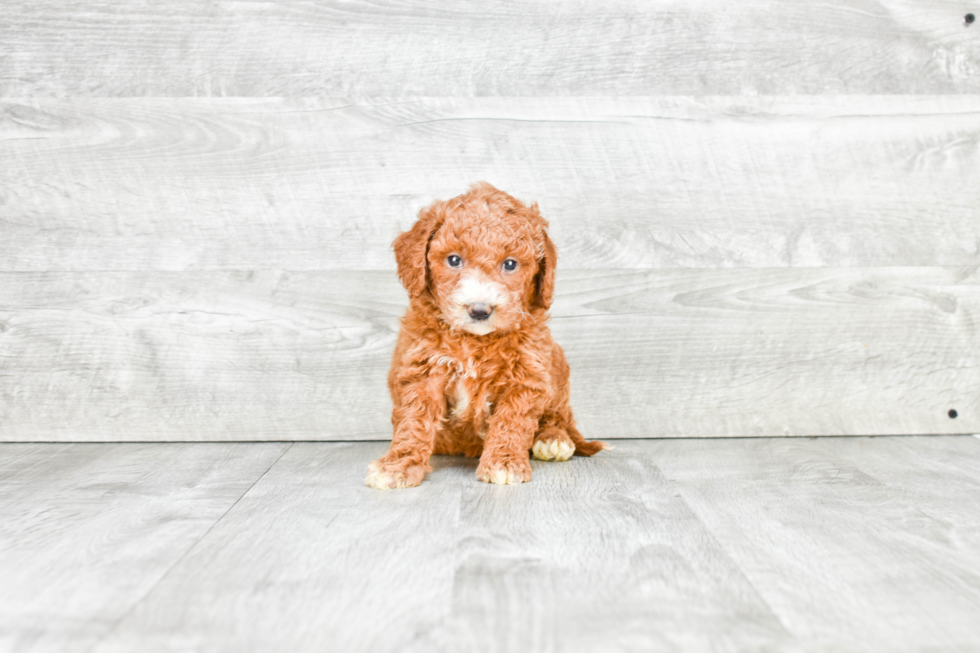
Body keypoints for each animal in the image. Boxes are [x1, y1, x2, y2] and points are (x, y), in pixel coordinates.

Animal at [364, 183, 600, 488]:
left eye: (510, 264)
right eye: (454, 260)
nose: (479, 310)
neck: (474, 340)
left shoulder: (528, 375)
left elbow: (512, 421)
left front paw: (504, 462)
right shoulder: (421, 371)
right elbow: (414, 422)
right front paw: (398, 465)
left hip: (557, 371)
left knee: (558, 415)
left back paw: (553, 438)